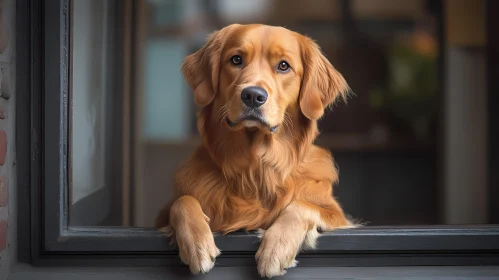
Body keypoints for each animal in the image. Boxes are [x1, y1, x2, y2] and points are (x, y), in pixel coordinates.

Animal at [156, 24, 356, 278]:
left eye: (283, 66)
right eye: (236, 60)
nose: (252, 95)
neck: (255, 168)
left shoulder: (338, 215)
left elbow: (303, 205)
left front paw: (276, 248)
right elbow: (182, 201)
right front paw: (197, 243)